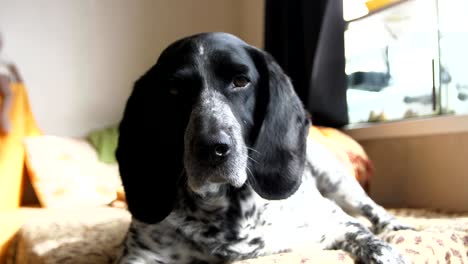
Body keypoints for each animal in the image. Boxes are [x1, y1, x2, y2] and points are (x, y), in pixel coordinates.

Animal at [115, 32, 412, 262]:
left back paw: (397, 224)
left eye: (240, 81)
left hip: (339, 183)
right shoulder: (140, 255)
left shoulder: (337, 224)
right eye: (174, 91)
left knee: (372, 208)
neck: (223, 208)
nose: (211, 148)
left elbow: (371, 240)